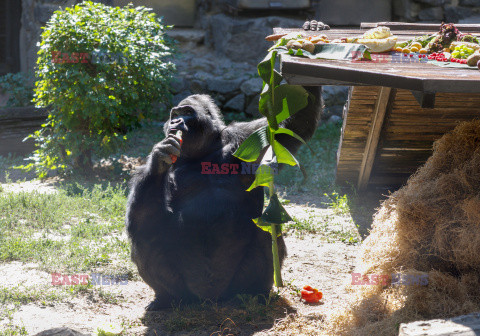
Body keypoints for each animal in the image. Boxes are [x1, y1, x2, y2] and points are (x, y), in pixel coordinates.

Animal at [125, 90, 320, 310]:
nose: (175, 121)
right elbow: (142, 216)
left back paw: (257, 293)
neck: (204, 150)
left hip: (235, 285)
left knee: (266, 229)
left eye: (187, 112)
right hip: (188, 291)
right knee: (145, 234)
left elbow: (291, 124)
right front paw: (160, 158)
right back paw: (167, 297)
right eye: (174, 114)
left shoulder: (245, 135)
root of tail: (210, 299)